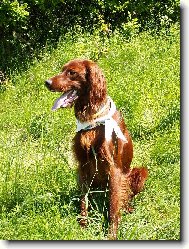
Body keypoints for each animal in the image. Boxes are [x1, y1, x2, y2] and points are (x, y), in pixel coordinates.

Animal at [45, 58, 148, 239]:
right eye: (62, 70)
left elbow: (114, 206)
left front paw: (112, 233)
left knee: (126, 195)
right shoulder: (82, 166)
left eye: (72, 72)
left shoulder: (114, 169)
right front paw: (83, 226)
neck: (92, 119)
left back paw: (128, 208)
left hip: (139, 172)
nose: (47, 82)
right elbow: (83, 200)